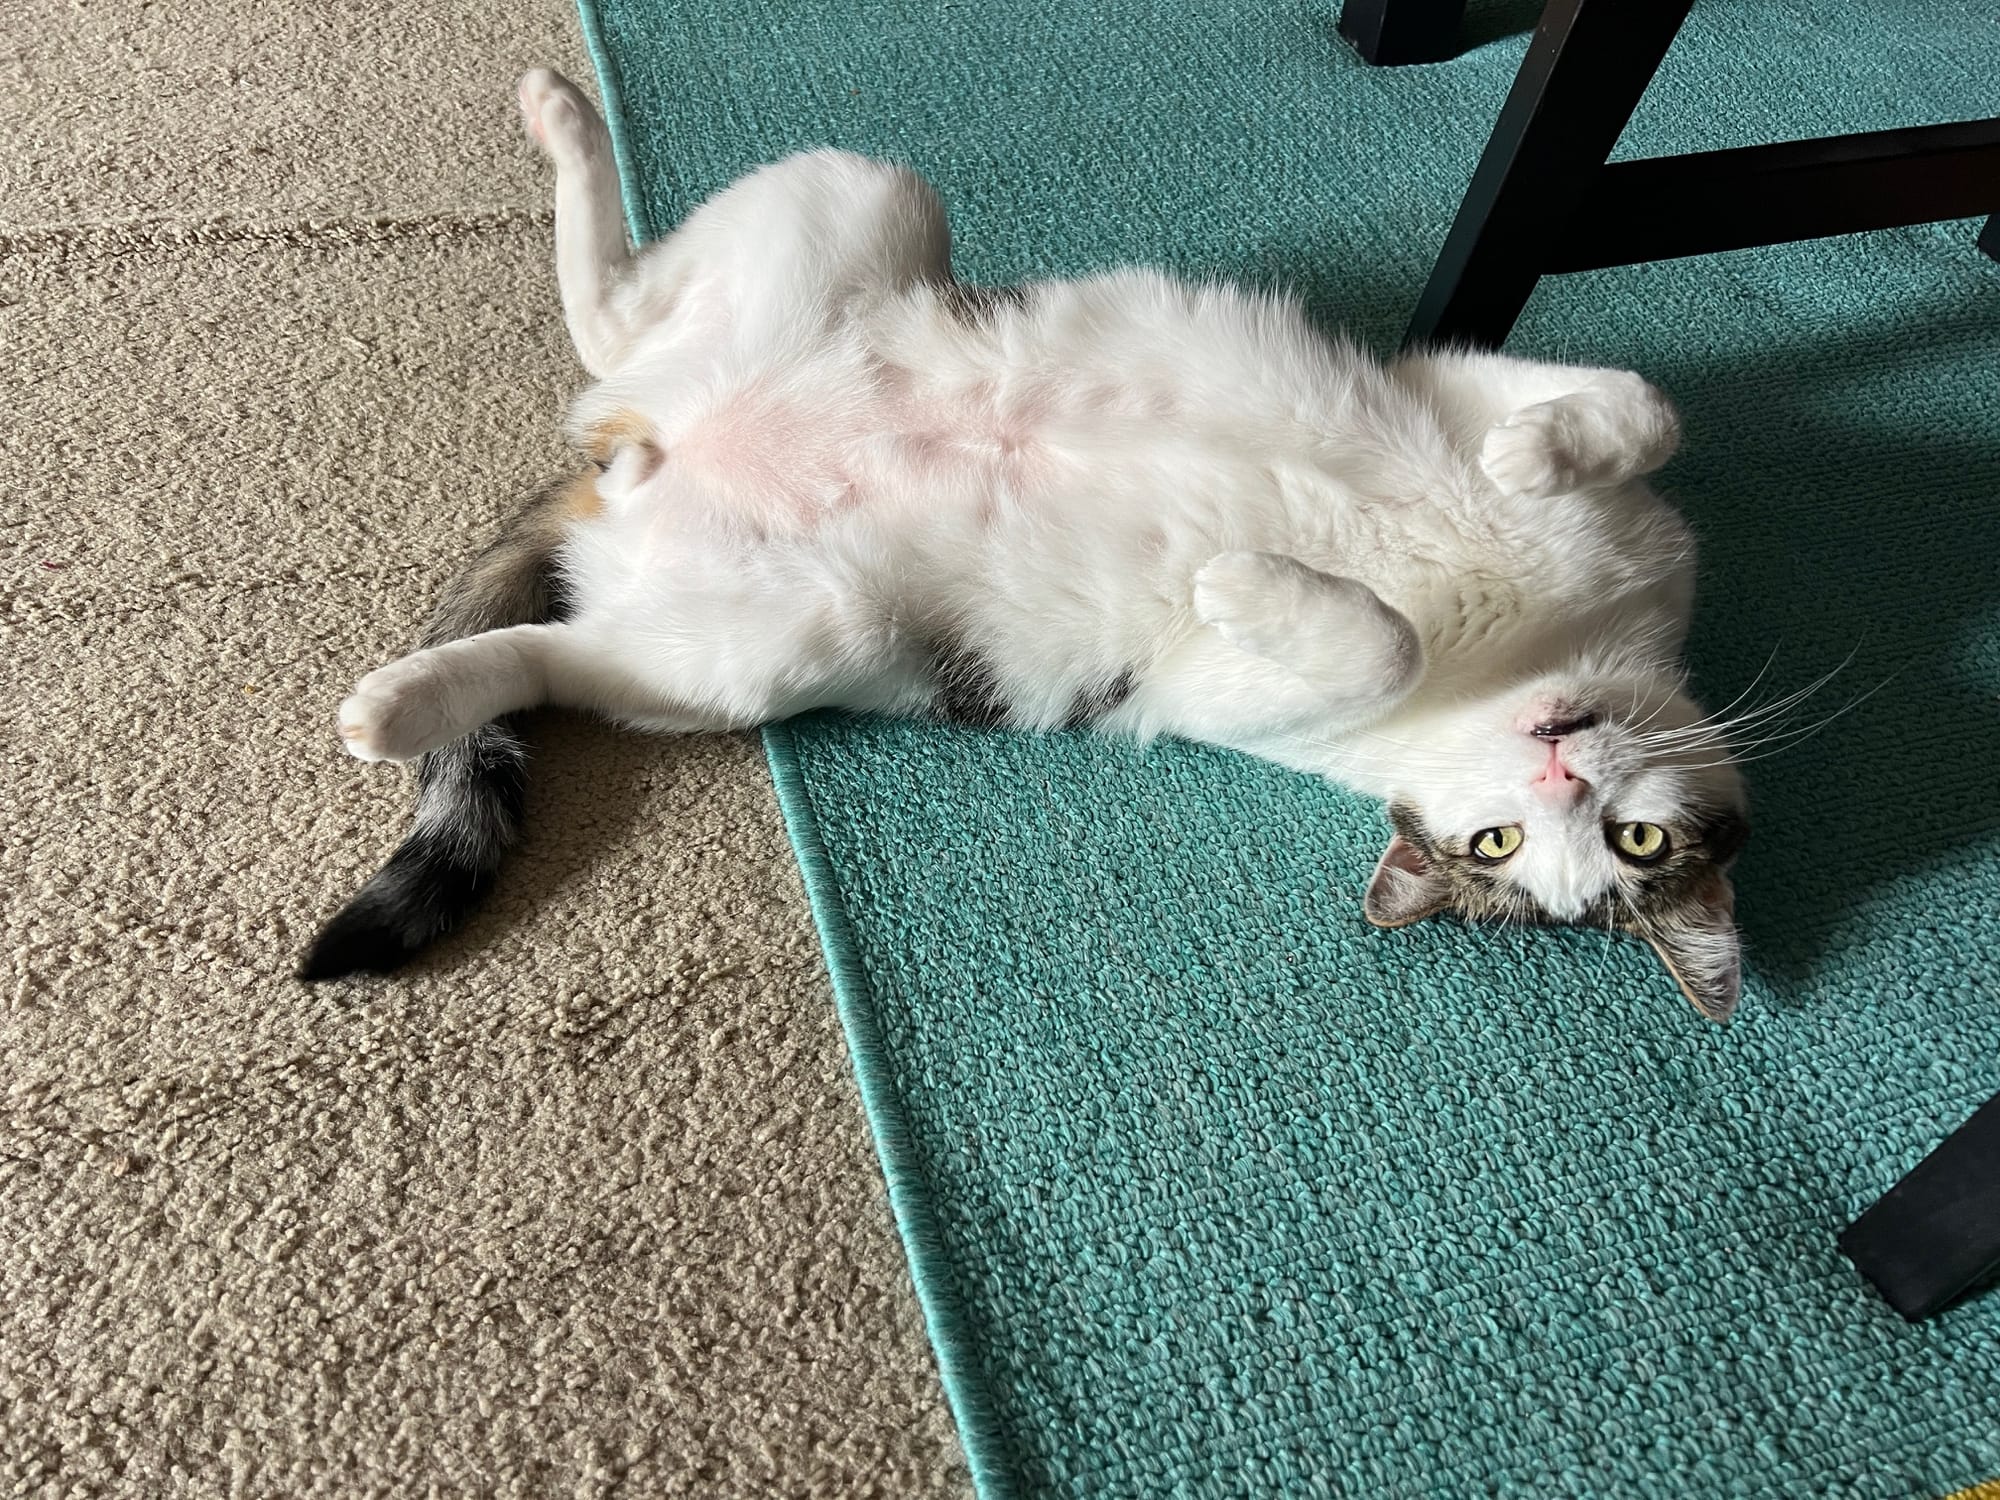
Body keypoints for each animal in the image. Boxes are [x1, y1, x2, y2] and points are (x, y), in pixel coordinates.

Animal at [296, 64, 1752, 1016]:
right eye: (1510, 845)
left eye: (1619, 852)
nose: (1561, 777)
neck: (1543, 638)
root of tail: (639, 457)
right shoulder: (1474, 387)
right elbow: (1640, 409)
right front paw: (1535, 455)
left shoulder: (1238, 700)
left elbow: (1373, 643)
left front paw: (1246, 577)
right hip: (861, 199)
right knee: (607, 325)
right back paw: (563, 116)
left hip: (765, 643)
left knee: (552, 649)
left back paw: (402, 700)